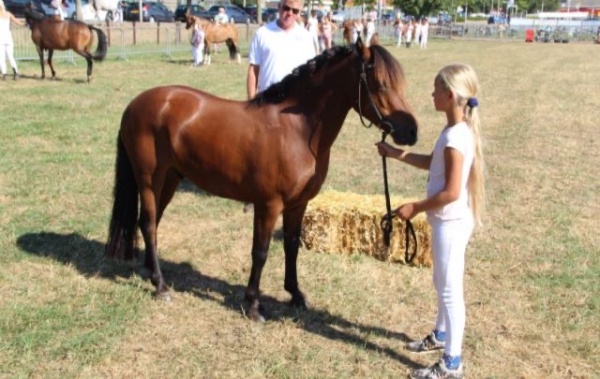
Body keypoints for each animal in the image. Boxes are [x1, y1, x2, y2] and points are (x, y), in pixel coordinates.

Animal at [104, 40, 418, 322]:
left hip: (169, 179)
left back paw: (151, 271)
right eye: (381, 84)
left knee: (151, 223)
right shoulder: (268, 205)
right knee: (148, 223)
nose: (412, 131)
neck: (296, 129)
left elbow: (291, 246)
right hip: (149, 180)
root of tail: (136, 104)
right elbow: (261, 251)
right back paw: (160, 286)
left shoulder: (297, 205)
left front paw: (296, 295)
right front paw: (254, 305)